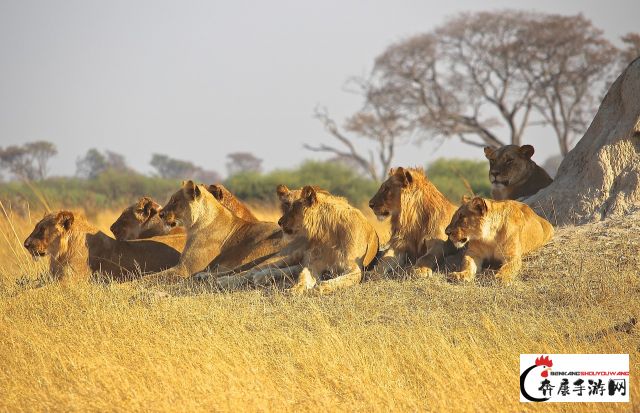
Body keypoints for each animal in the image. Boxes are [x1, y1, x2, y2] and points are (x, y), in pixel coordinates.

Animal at [145, 180, 288, 284]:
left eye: (175, 201)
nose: (160, 214)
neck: (194, 226)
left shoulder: (185, 269)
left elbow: (152, 277)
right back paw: (204, 276)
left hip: (258, 253)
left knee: (249, 272)